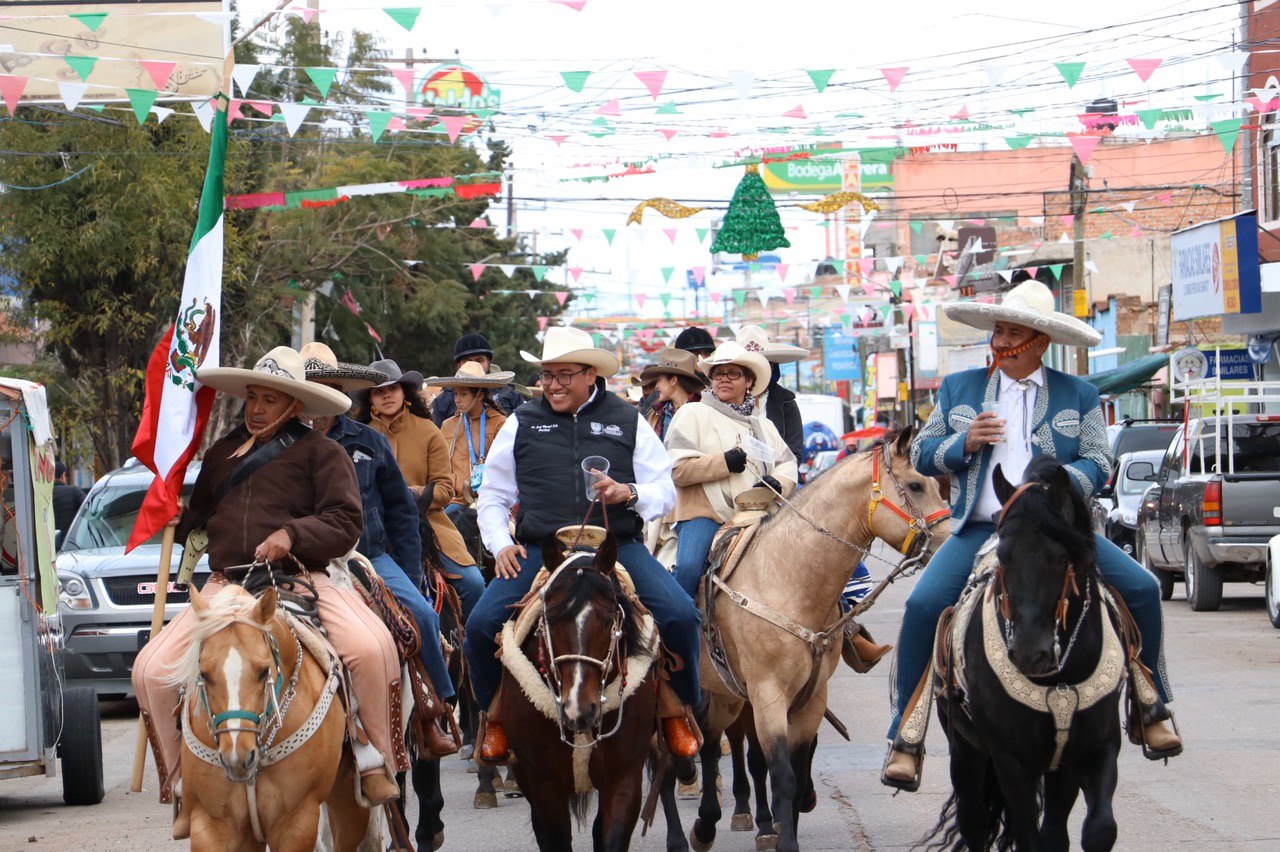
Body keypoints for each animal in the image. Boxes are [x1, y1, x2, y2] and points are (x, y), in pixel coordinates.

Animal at [170, 583, 373, 849]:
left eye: (263, 671)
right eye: (204, 674)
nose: (237, 757)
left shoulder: (296, 822)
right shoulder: (212, 825)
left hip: (348, 803)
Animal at [691, 427, 952, 849]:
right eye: (916, 484)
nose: (948, 541)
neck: (785, 581)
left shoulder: (811, 700)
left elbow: (795, 776)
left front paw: (782, 828)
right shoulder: (768, 695)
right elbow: (780, 774)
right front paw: (781, 837)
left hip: (727, 692)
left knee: (716, 740)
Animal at [921, 457, 1131, 849]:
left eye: (1061, 556)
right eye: (1003, 556)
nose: (1030, 654)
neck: (1060, 679)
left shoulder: (1095, 750)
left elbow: (1097, 829)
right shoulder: (1012, 761)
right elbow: (1028, 837)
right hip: (966, 752)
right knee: (973, 820)